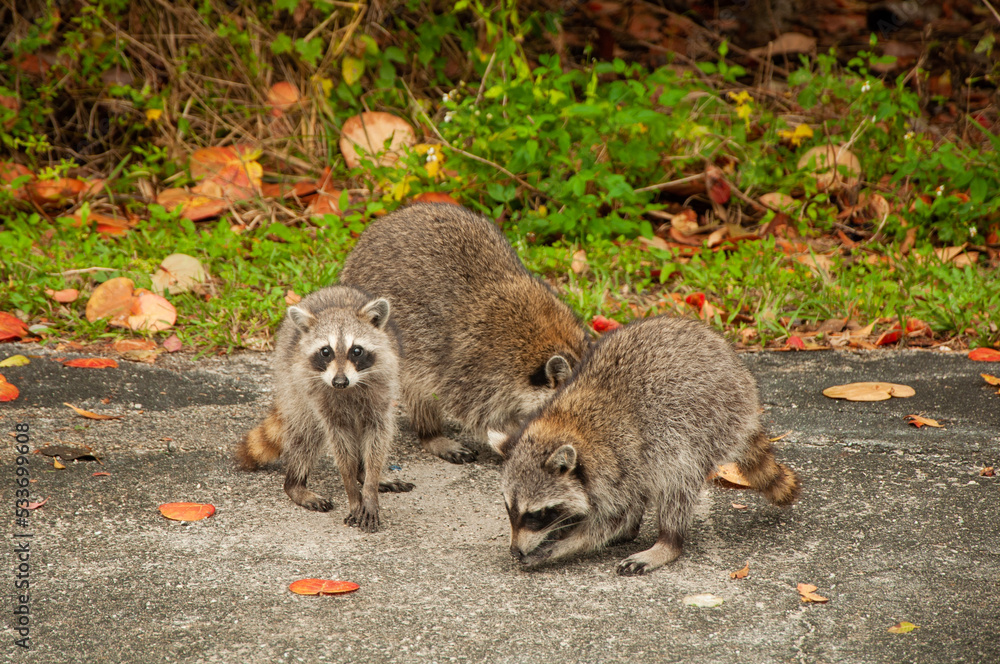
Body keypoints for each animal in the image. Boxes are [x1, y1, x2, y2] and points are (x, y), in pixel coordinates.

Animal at [235, 285, 413, 532]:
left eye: (356, 351)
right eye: (326, 351)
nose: (339, 382)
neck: (350, 387)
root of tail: (332, 288)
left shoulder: (381, 392)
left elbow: (378, 439)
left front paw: (369, 487)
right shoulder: (325, 402)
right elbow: (340, 448)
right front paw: (353, 492)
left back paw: (363, 473)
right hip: (294, 384)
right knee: (305, 435)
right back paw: (295, 484)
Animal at [491, 315, 801, 575]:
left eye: (537, 514)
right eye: (509, 508)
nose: (515, 551)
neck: (565, 423)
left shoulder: (620, 462)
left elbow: (613, 518)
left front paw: (564, 544)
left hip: (706, 422)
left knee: (678, 480)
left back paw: (668, 542)